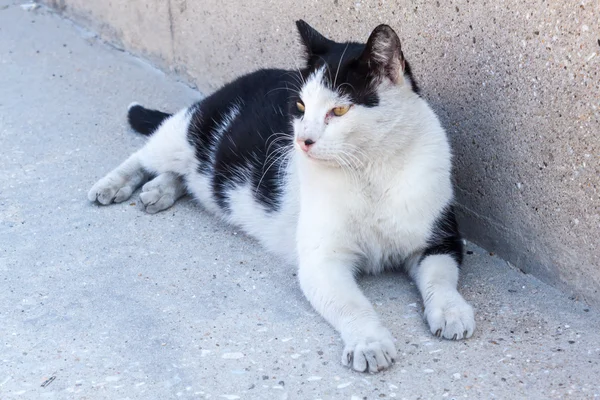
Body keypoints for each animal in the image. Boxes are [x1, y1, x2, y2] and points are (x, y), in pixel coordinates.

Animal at [88, 20, 474, 374]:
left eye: (339, 110)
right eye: (301, 106)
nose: (302, 140)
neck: (369, 170)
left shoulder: (440, 239)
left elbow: (440, 280)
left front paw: (451, 310)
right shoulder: (322, 262)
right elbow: (354, 306)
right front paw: (369, 342)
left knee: (190, 177)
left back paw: (160, 189)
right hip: (184, 133)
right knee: (147, 154)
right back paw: (114, 184)